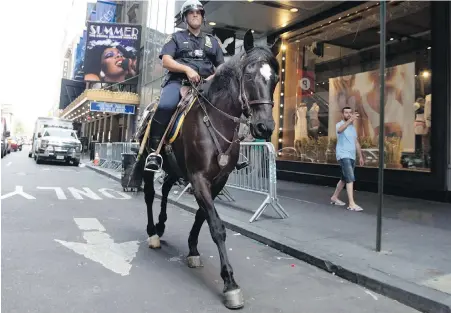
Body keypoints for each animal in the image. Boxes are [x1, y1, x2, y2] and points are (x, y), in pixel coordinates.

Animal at [138, 30, 280, 308]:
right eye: (249, 75)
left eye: (276, 79)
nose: (264, 127)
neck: (217, 119)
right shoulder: (198, 178)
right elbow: (216, 225)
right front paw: (230, 283)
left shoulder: (217, 180)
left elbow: (201, 216)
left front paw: (193, 250)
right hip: (151, 162)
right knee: (150, 195)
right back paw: (153, 233)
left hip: (175, 169)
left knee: (166, 189)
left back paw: (161, 225)